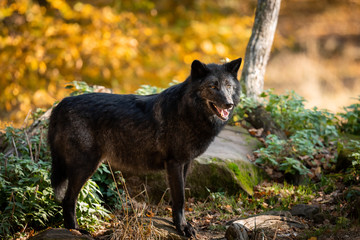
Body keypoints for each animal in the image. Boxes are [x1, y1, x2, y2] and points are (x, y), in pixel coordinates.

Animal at [47, 57, 242, 236]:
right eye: (213, 86)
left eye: (228, 86)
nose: (229, 104)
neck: (188, 111)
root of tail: (60, 104)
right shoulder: (174, 163)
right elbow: (180, 198)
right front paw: (182, 228)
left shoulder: (186, 163)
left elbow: (178, 198)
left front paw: (178, 223)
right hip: (85, 166)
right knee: (68, 199)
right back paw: (75, 230)